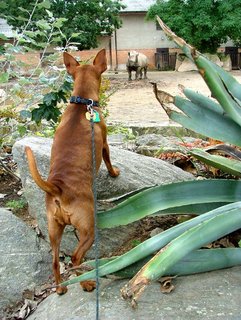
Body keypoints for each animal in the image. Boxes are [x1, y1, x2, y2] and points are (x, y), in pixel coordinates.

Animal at [25, 48, 119, 296]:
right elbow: (108, 160)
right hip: (88, 229)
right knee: (76, 258)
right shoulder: (105, 144)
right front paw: (114, 173)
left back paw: (60, 288)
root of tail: (57, 188)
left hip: (53, 230)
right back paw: (86, 283)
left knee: (55, 262)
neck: (82, 104)